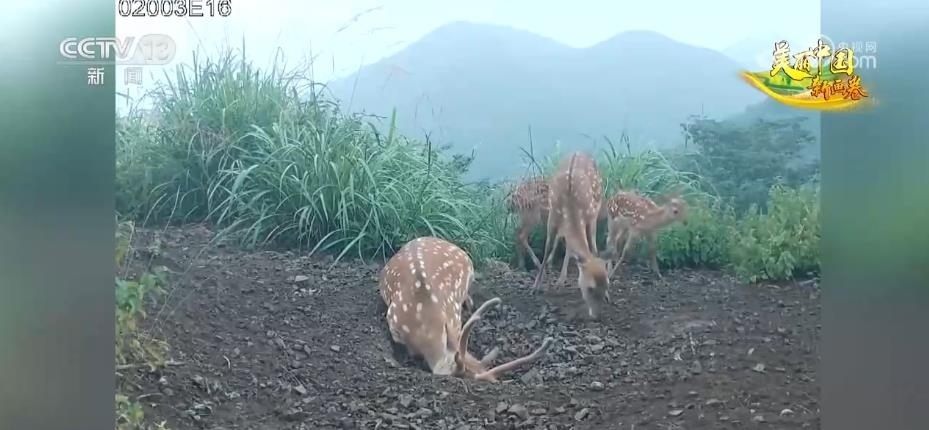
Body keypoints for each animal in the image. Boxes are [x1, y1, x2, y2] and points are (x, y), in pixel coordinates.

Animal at [531, 152, 611, 319]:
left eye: (607, 284)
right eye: (590, 288)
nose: (596, 315)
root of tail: (580, 151)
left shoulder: (590, 217)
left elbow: (594, 249)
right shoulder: (552, 216)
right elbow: (547, 247)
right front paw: (535, 287)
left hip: (597, 204)